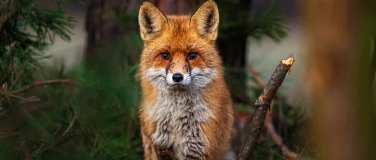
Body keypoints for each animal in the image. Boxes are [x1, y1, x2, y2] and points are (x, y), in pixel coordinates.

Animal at [137, 0, 234, 159]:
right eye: (165, 55)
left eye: (192, 55)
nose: (177, 77)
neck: (177, 118)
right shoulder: (159, 146)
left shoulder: (199, 147)